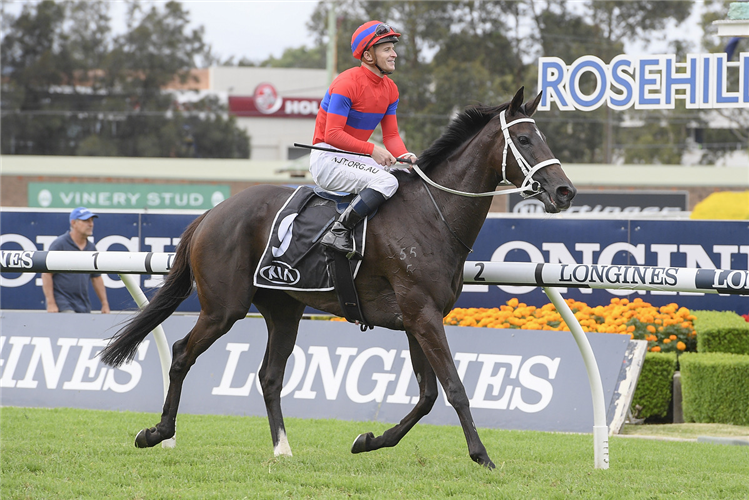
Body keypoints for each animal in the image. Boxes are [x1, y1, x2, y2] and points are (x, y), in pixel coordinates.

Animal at [99, 87, 576, 468]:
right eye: (525, 139)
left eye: (544, 137)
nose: (565, 191)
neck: (432, 214)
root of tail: (211, 214)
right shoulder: (422, 315)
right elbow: (454, 388)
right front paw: (481, 455)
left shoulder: (419, 319)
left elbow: (426, 396)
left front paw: (368, 440)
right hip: (224, 308)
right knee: (182, 352)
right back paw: (156, 433)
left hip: (283, 309)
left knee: (270, 376)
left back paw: (283, 449)